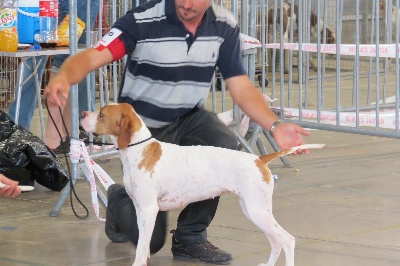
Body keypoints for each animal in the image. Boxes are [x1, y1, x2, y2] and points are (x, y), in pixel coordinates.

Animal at [81, 103, 324, 266]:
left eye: (101, 114)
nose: (82, 114)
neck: (139, 150)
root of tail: (258, 159)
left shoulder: (149, 209)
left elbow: (142, 247)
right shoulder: (141, 209)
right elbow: (143, 241)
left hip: (258, 211)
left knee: (287, 240)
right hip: (253, 210)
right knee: (276, 242)